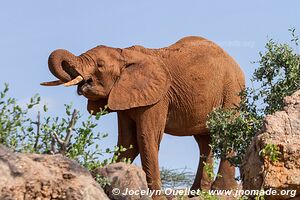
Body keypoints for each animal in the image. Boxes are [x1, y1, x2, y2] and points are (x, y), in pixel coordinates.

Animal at [41, 36, 244, 198]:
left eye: (100, 65)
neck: (124, 53)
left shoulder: (158, 98)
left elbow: (146, 139)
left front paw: (157, 198)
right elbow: (127, 143)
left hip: (232, 91)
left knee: (226, 133)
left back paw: (221, 191)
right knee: (204, 141)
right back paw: (196, 194)